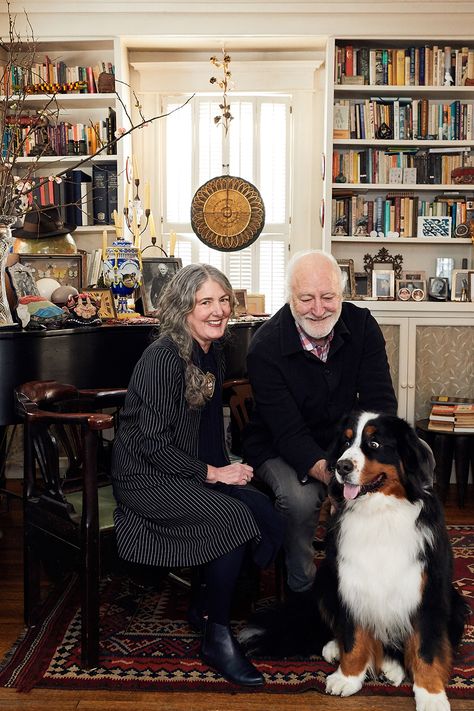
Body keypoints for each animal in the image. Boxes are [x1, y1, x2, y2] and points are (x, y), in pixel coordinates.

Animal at [316, 412, 468, 711]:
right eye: (346, 442)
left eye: (374, 444)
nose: (342, 466)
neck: (379, 512)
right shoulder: (351, 581)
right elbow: (353, 636)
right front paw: (348, 676)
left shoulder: (426, 591)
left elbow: (425, 649)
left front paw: (431, 694)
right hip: (326, 579)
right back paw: (334, 648)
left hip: (456, 601)